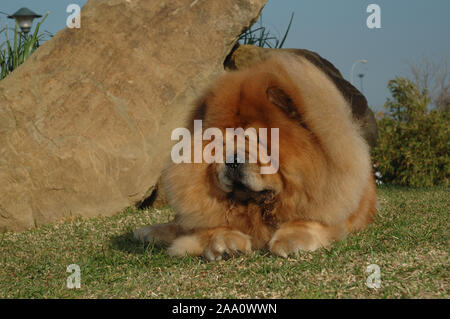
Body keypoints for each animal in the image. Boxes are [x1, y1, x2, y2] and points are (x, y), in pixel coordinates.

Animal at [134, 52, 376, 262]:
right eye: (220, 144)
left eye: (259, 141)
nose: (232, 160)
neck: (256, 206)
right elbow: (211, 228)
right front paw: (226, 243)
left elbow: (306, 220)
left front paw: (290, 240)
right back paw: (148, 232)